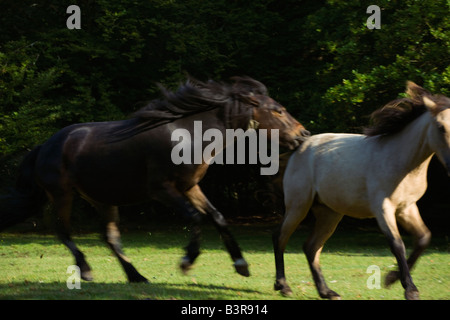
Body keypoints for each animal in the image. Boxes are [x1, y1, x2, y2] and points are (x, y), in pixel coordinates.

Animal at [0, 77, 310, 282]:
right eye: (278, 110)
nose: (303, 134)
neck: (189, 135)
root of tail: (44, 146)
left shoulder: (190, 187)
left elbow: (218, 217)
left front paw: (241, 264)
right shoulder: (162, 190)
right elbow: (195, 218)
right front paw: (186, 262)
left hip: (103, 199)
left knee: (109, 236)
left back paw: (136, 276)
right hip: (63, 194)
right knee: (63, 230)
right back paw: (86, 270)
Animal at [274, 81, 450, 298]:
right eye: (441, 127)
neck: (401, 161)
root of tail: (300, 147)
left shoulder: (407, 208)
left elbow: (423, 238)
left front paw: (392, 278)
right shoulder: (383, 209)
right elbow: (397, 245)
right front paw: (409, 289)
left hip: (329, 213)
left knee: (311, 247)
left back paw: (326, 292)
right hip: (298, 207)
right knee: (280, 237)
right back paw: (283, 286)